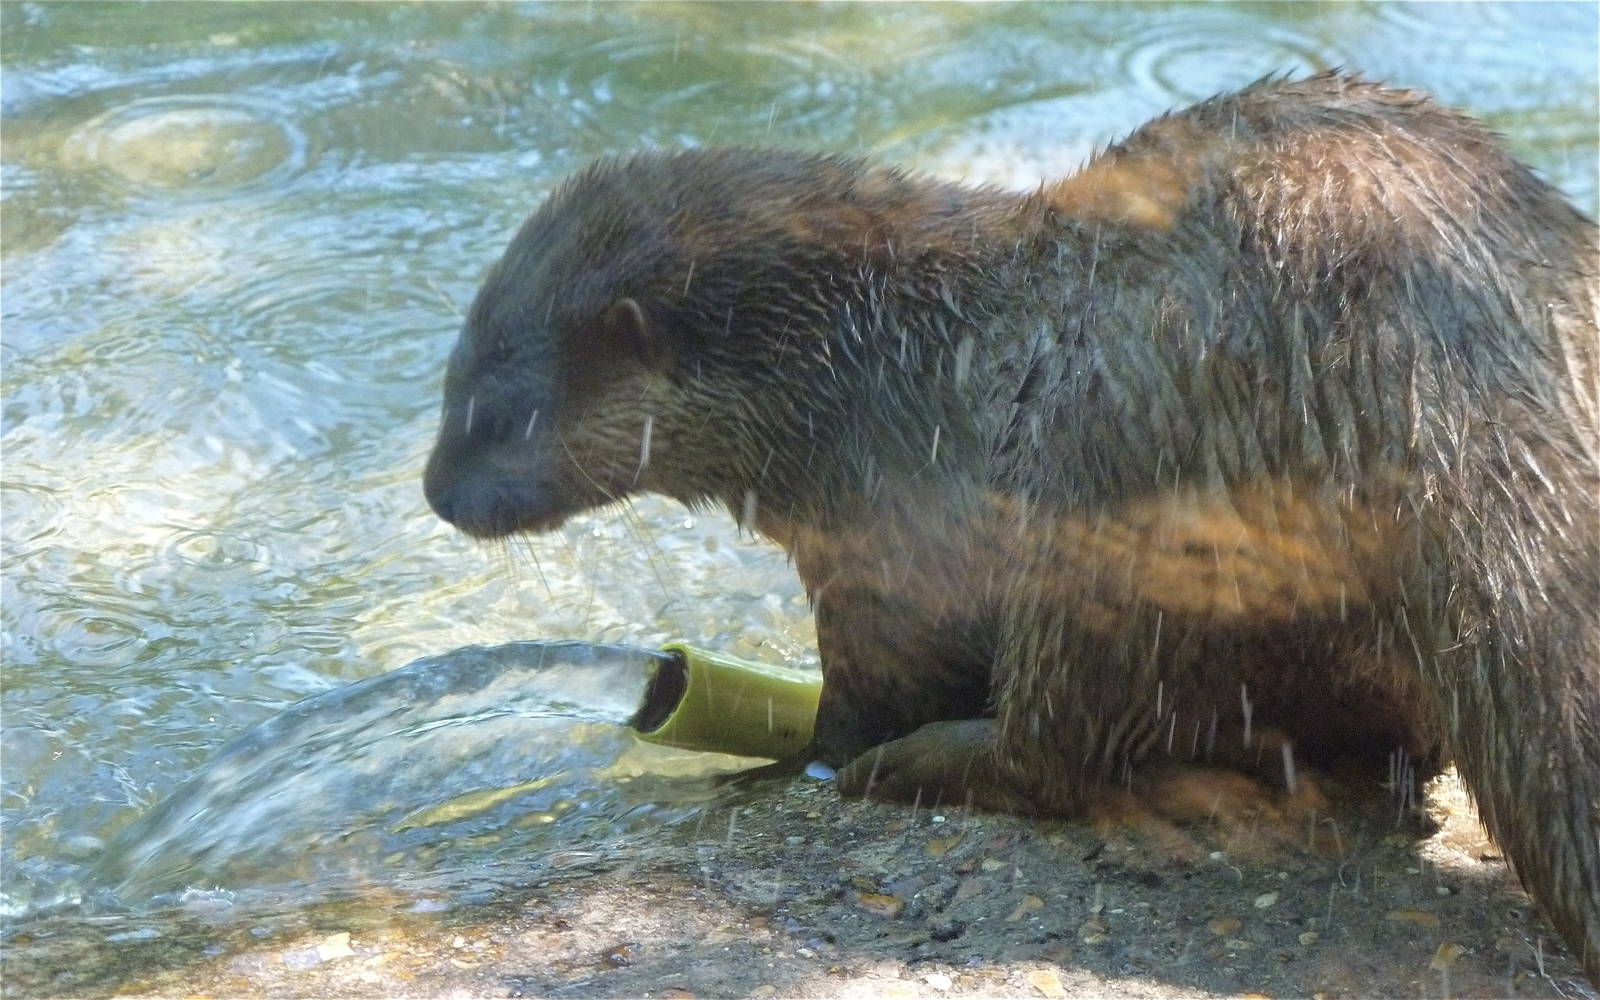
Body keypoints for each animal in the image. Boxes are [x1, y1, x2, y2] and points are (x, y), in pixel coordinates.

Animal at [422, 73, 1599, 981]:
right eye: (444, 382)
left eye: (494, 412)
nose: (434, 489)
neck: (860, 370)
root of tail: (1453, 368)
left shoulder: (875, 545)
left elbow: (865, 689)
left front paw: (789, 752)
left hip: (1120, 485)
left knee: (1060, 740)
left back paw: (912, 764)